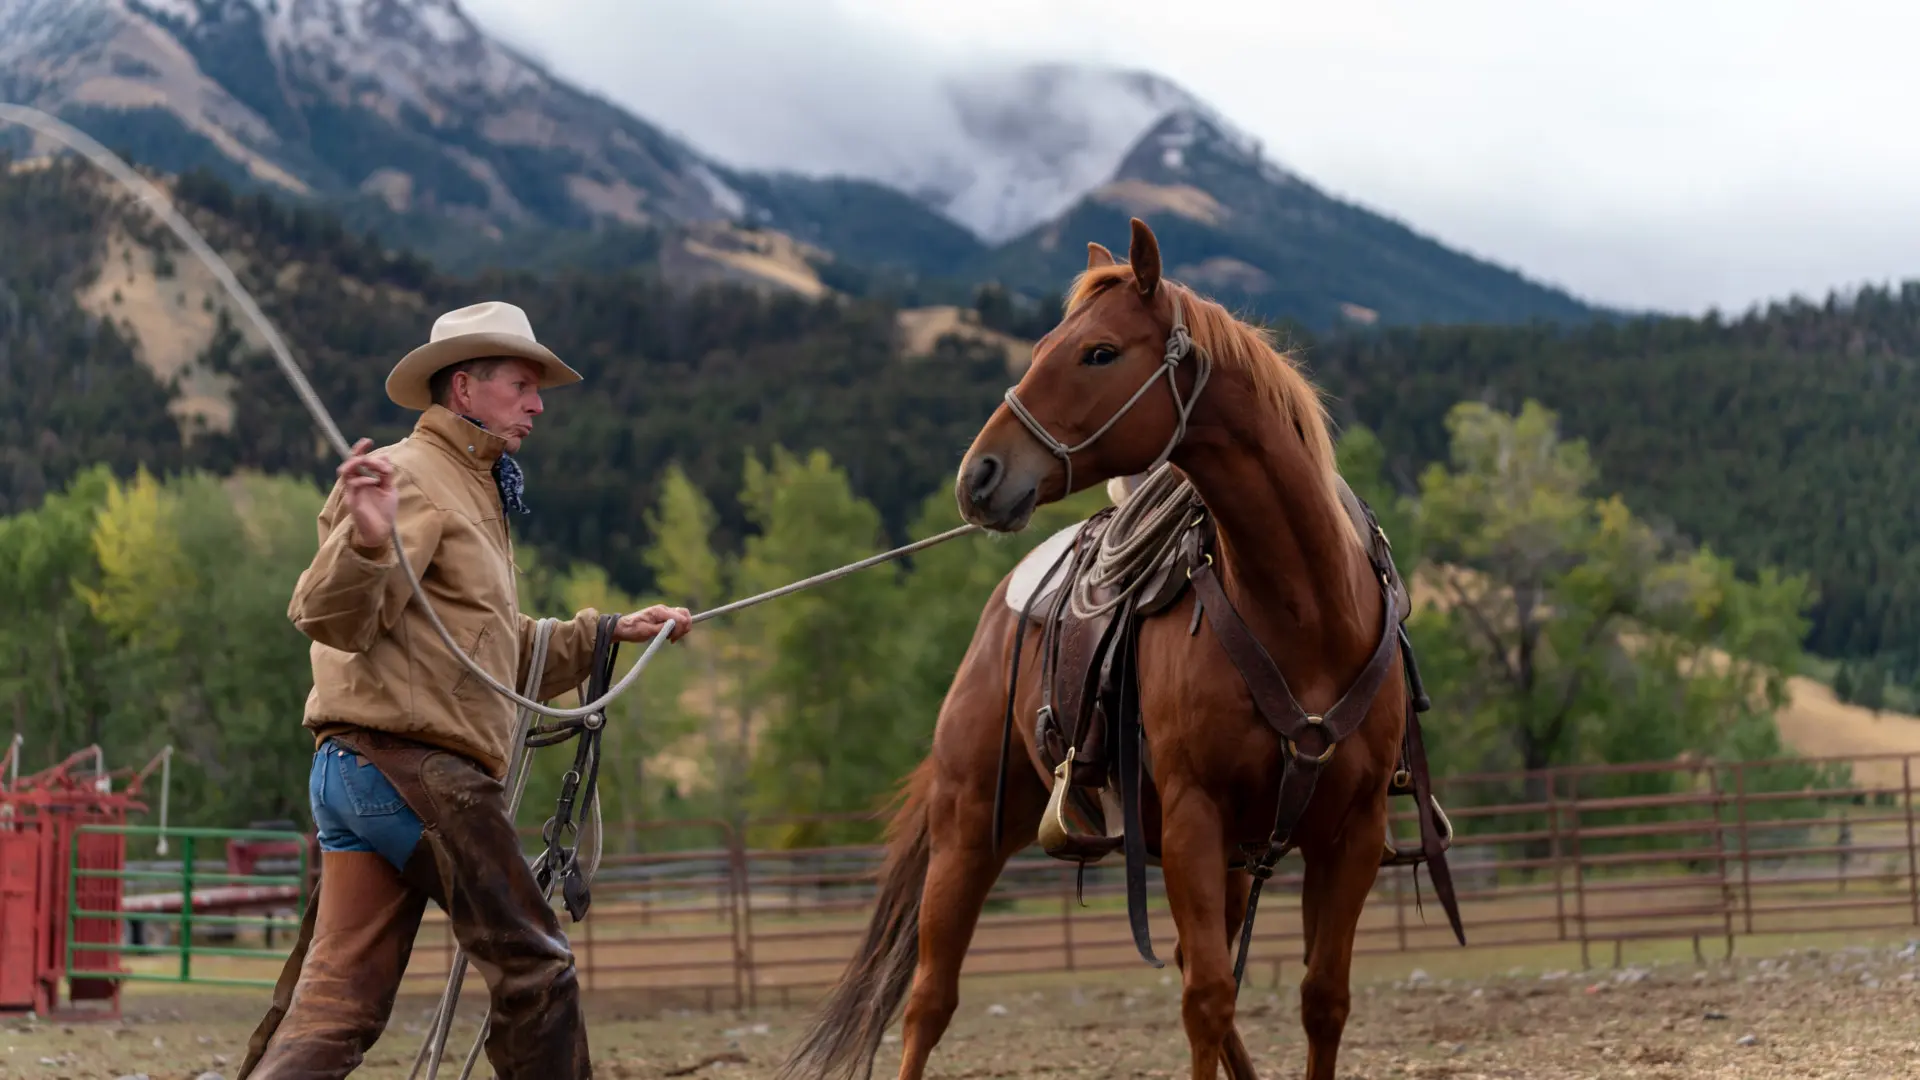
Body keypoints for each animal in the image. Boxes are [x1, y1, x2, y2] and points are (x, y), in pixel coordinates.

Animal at [775, 219, 1451, 1076]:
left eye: (1098, 352)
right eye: (1039, 347)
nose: (979, 476)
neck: (1306, 614)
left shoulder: (1351, 833)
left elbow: (1321, 999)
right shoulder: (1196, 818)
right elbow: (1207, 999)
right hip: (970, 826)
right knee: (930, 999)